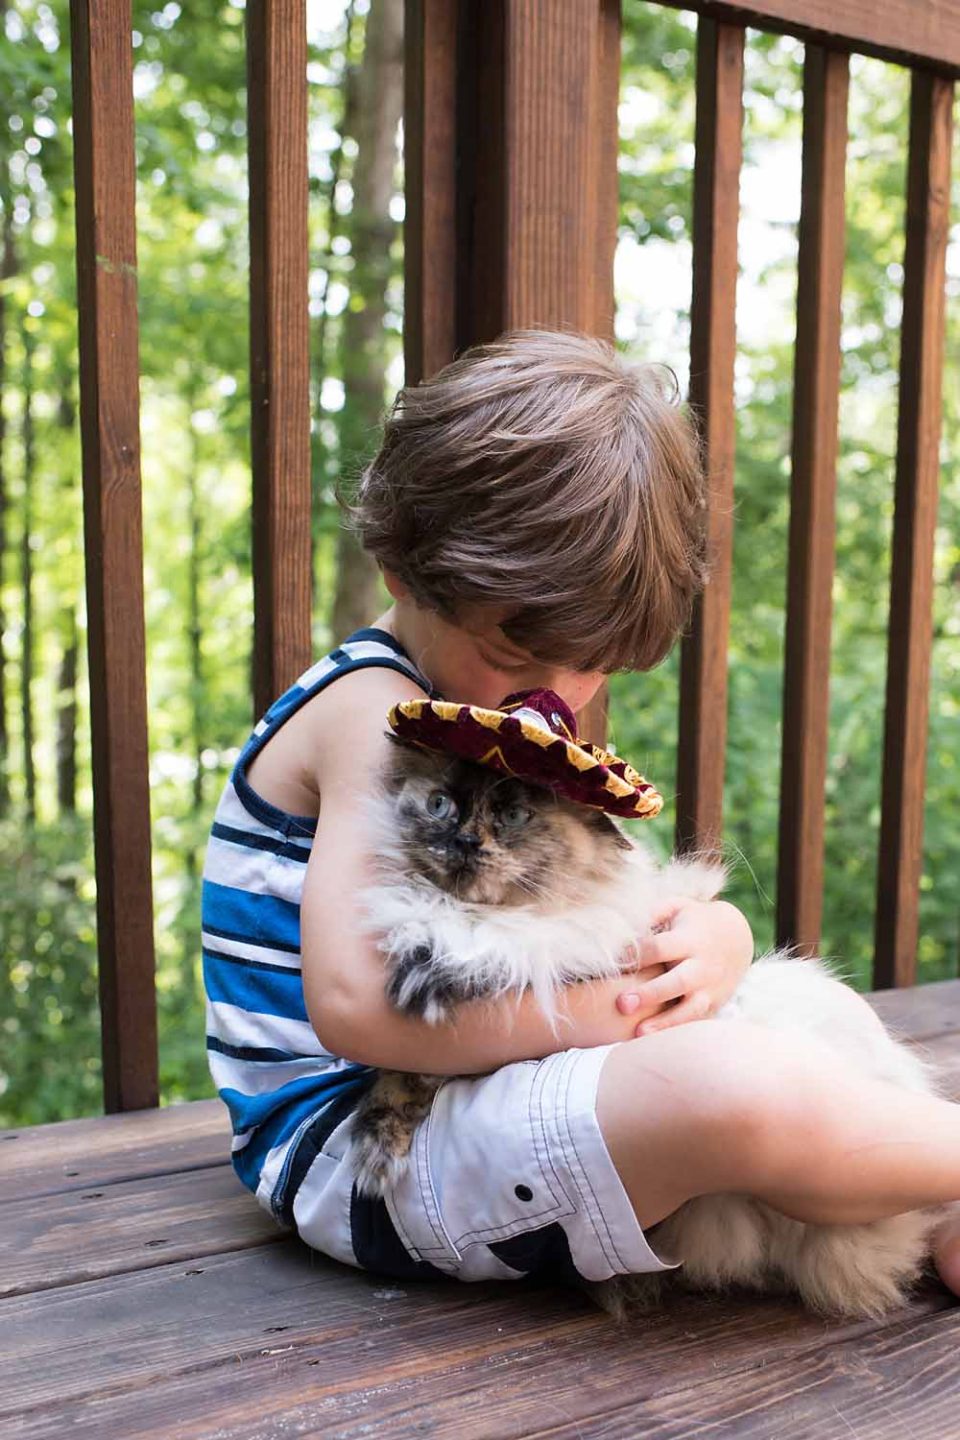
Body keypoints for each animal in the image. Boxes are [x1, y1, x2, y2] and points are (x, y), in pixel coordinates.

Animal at [351, 737, 944, 1319]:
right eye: (439, 805)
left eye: (515, 815)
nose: (466, 840)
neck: (482, 921)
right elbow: (394, 1076)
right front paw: (377, 1151)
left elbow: (414, 1071)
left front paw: (374, 1154)